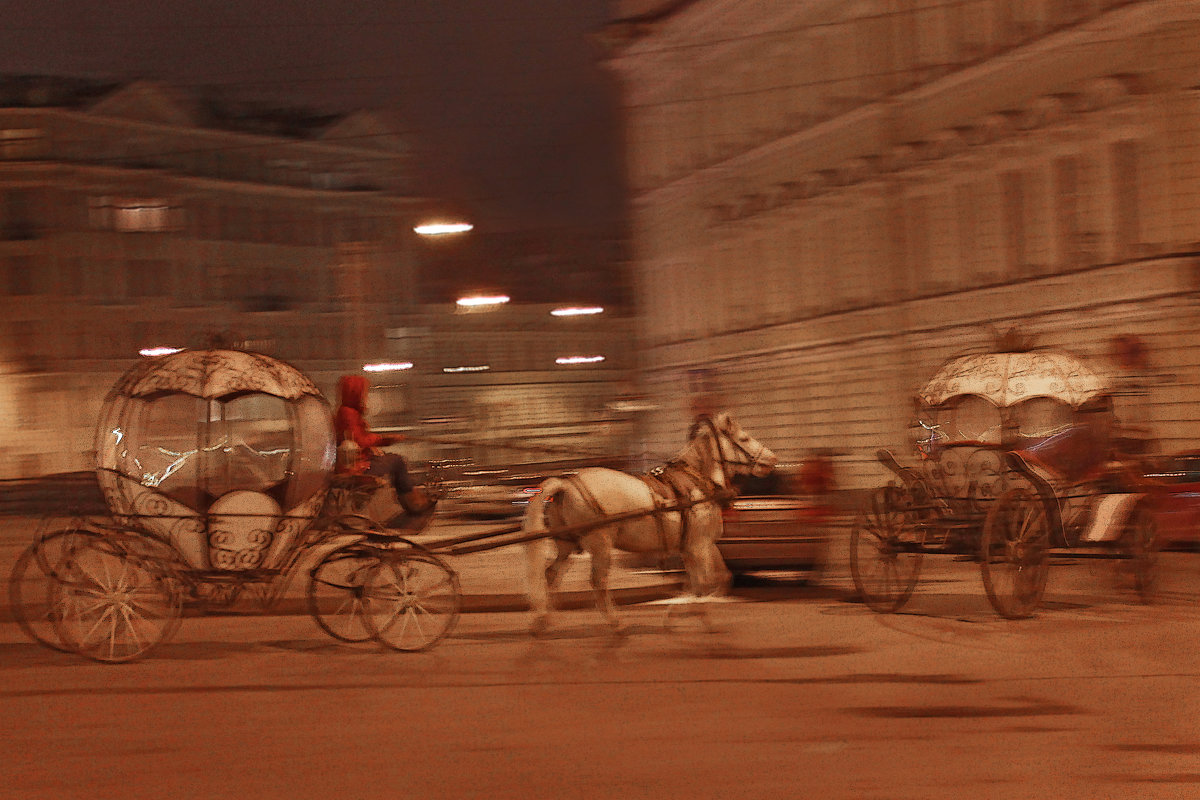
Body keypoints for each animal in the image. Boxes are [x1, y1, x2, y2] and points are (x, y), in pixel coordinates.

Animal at [525, 412, 777, 633]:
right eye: (744, 438)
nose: (772, 458)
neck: (697, 484)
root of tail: (567, 484)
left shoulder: (697, 546)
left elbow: (712, 580)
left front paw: (676, 613)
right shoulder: (699, 546)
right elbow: (704, 582)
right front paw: (699, 616)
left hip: (566, 544)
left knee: (551, 574)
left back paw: (544, 620)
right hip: (600, 544)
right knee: (598, 581)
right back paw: (615, 623)